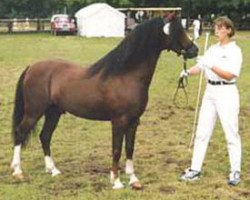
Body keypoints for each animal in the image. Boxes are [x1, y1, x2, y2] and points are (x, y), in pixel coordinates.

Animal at [10, 12, 198, 189]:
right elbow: (116, 150)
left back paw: (53, 170)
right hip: (34, 112)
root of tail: (31, 67)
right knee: (20, 133)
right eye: (177, 30)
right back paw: (18, 171)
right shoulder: (118, 121)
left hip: (53, 112)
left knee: (45, 136)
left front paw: (133, 180)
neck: (126, 75)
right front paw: (116, 181)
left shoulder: (134, 121)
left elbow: (129, 149)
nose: (194, 50)